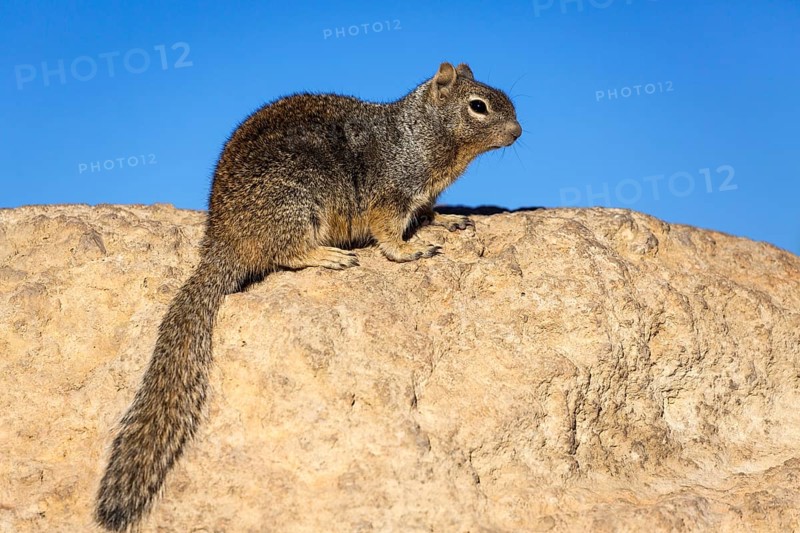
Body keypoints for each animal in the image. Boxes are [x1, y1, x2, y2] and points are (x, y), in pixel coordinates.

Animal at [95, 61, 521, 531]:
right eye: (479, 106)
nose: (519, 132)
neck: (422, 136)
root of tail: (222, 240)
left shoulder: (420, 195)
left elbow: (427, 212)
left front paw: (448, 219)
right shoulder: (391, 191)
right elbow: (389, 233)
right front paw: (410, 250)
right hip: (298, 201)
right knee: (286, 252)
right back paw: (329, 256)